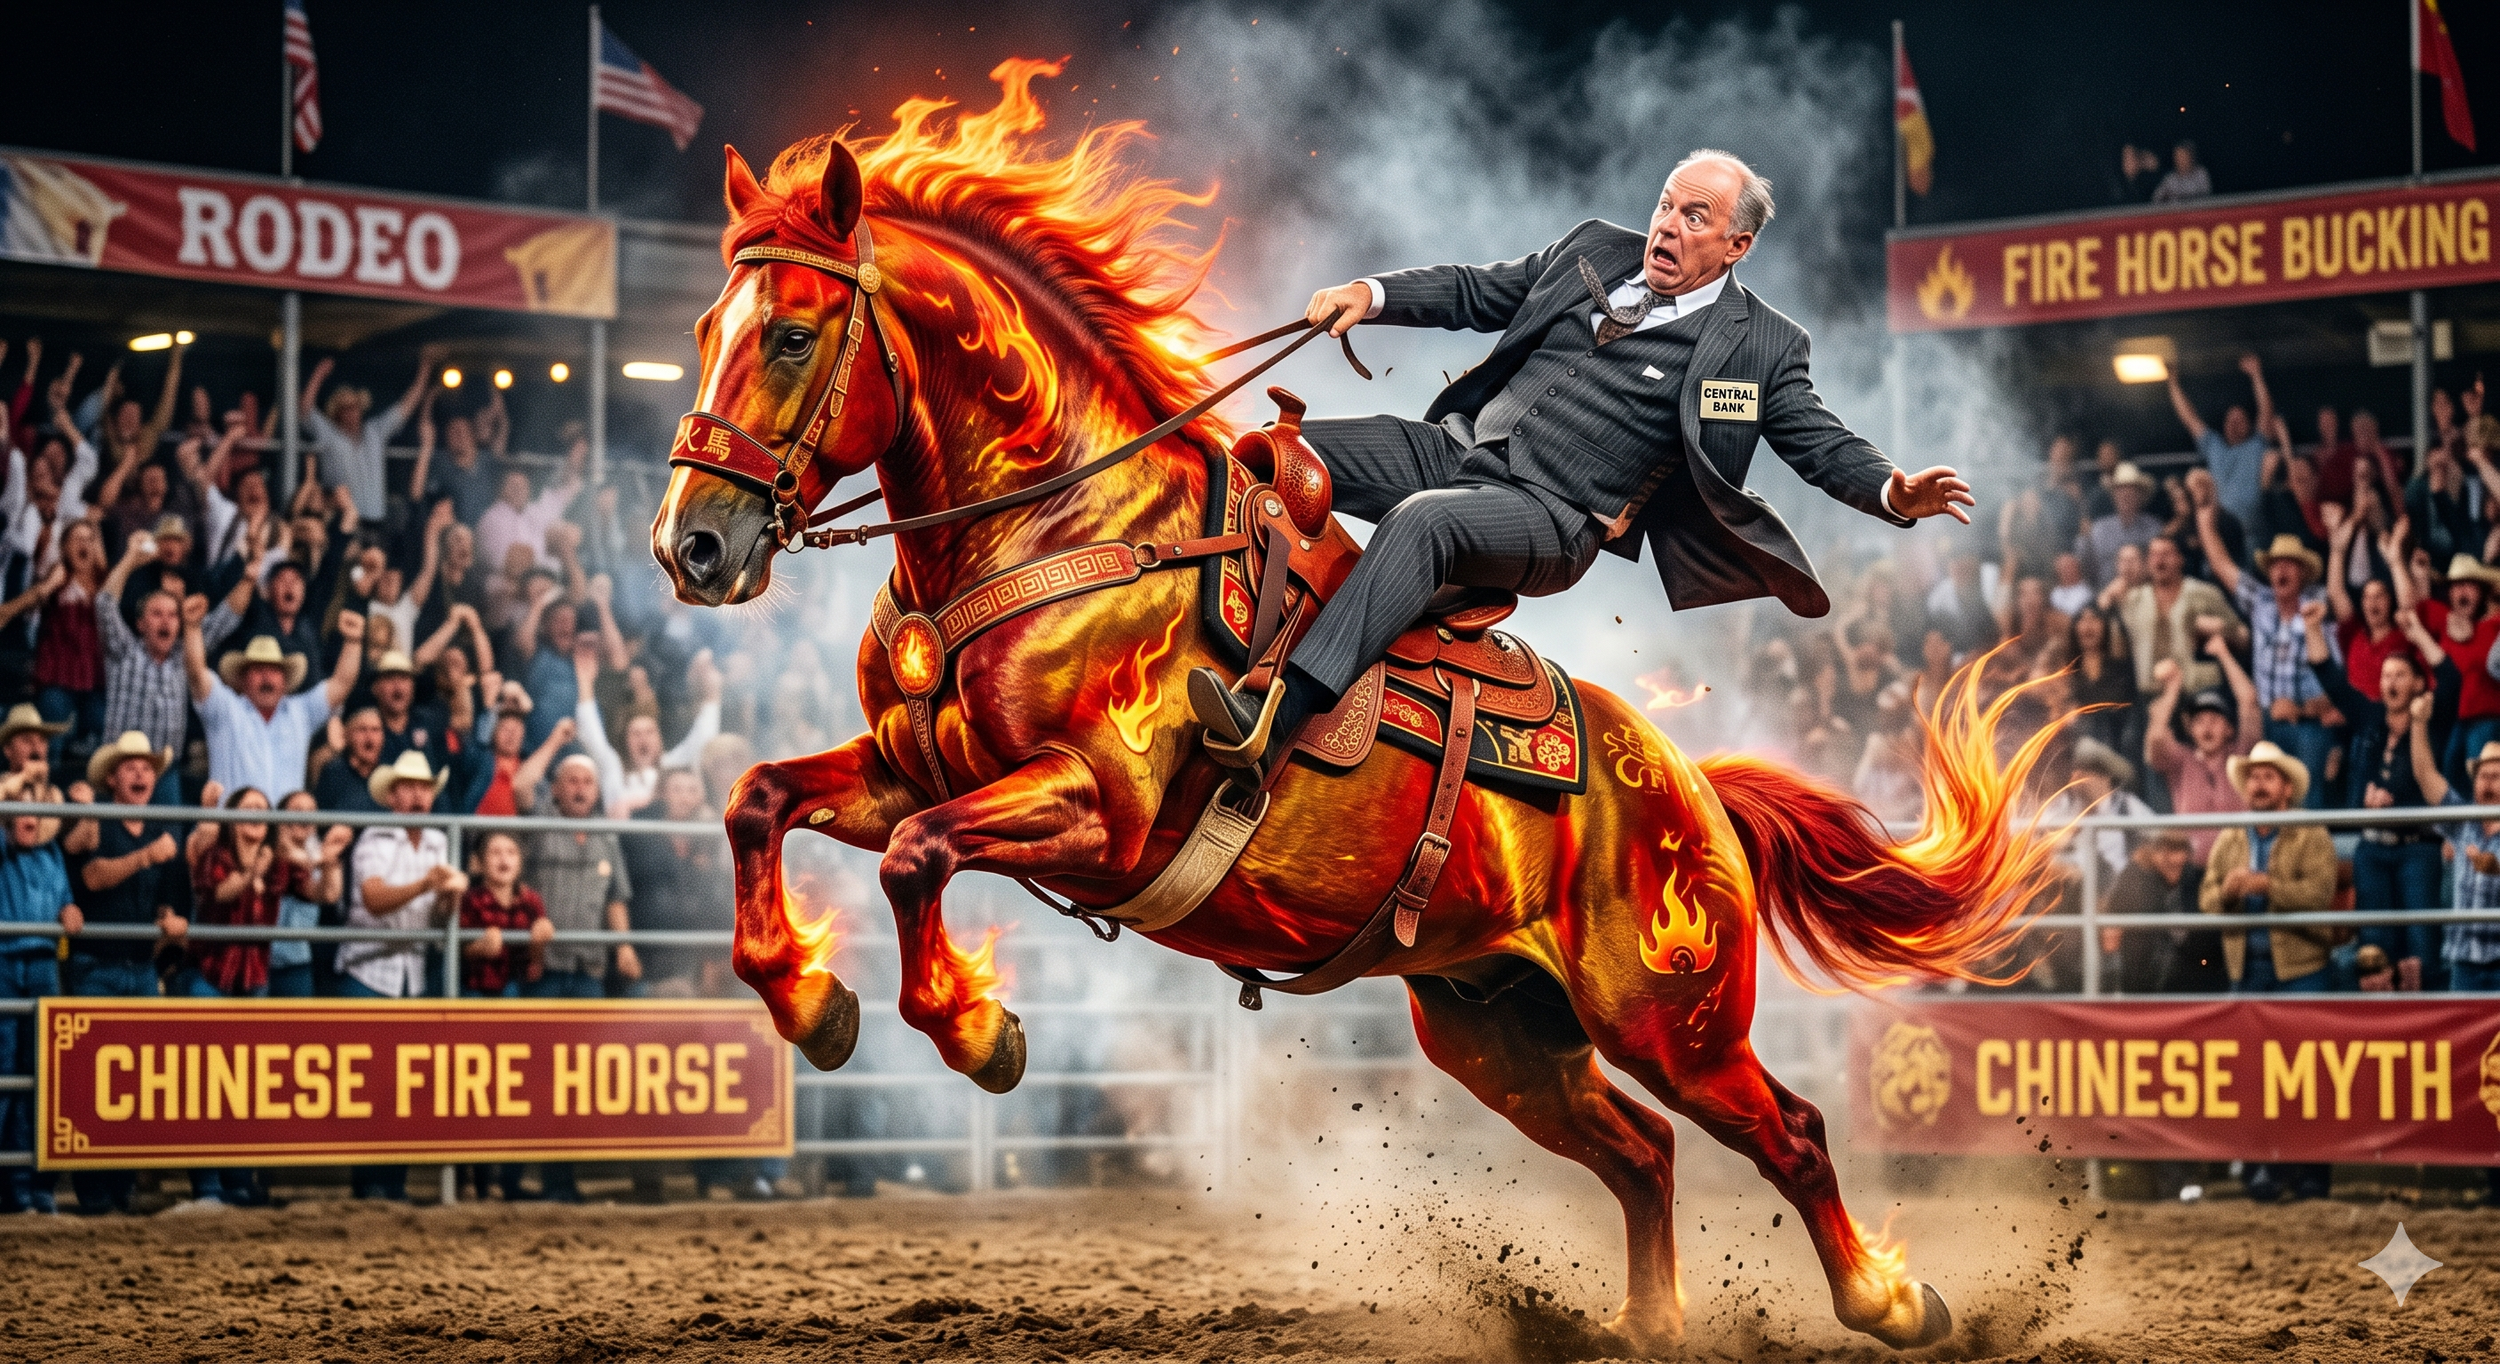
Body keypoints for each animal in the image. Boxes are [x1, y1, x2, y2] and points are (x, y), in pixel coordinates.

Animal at [649, 60, 2061, 1355]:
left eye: (790, 334)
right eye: (707, 322)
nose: (691, 545)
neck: (1073, 524)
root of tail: (1692, 787)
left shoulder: (1094, 808)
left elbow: (912, 856)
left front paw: (977, 1026)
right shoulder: (908, 762)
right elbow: (759, 800)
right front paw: (810, 1000)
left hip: (1673, 1016)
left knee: (1791, 1130)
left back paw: (1891, 1297)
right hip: (1499, 1029)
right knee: (1642, 1150)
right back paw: (1649, 1322)